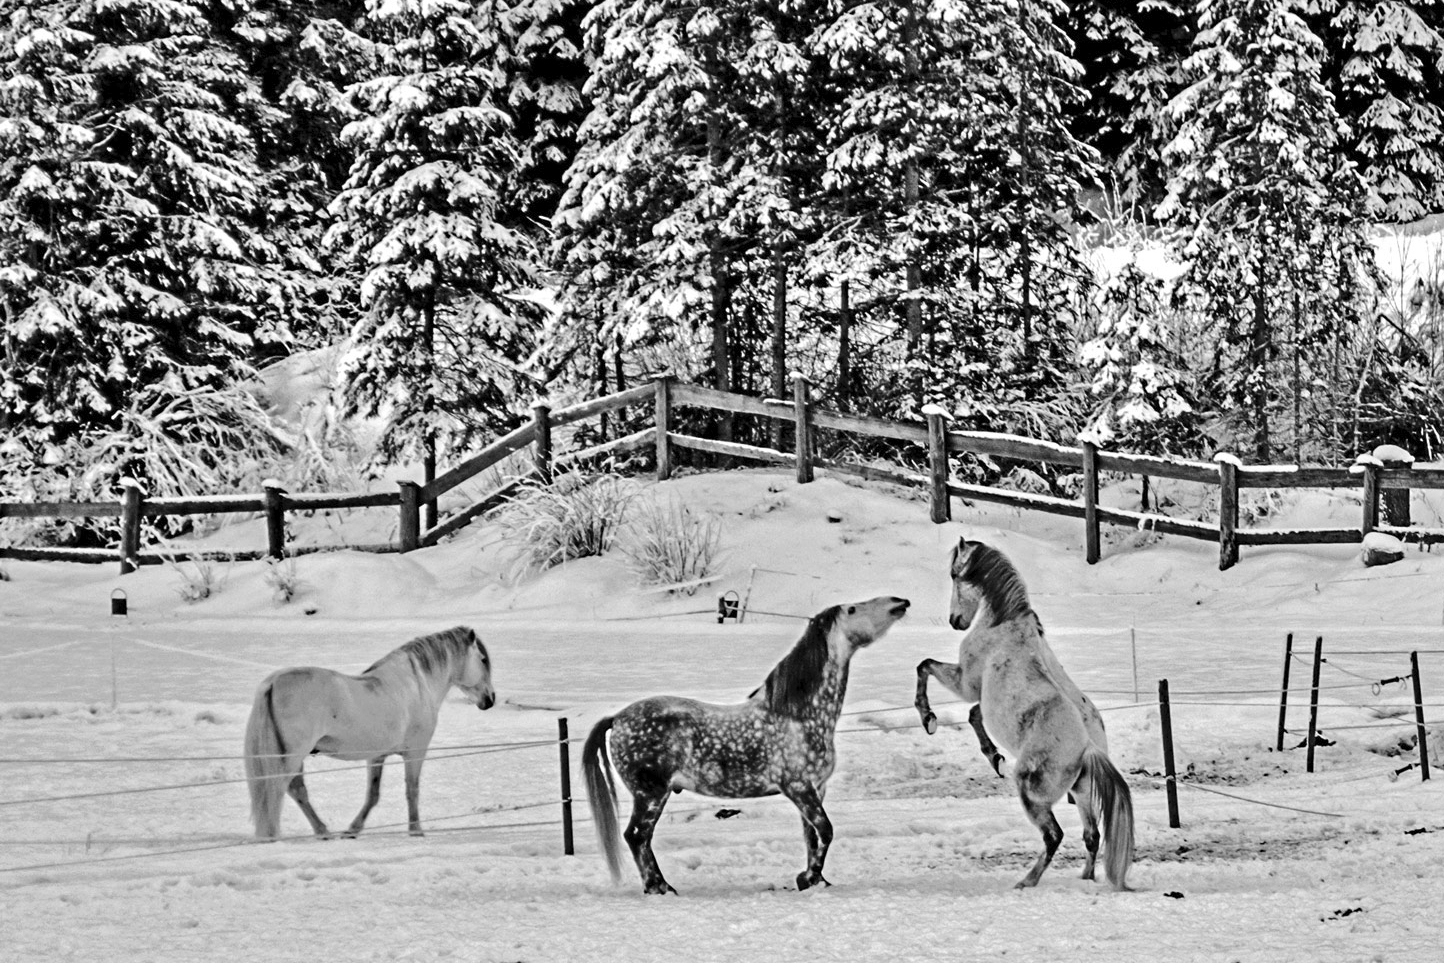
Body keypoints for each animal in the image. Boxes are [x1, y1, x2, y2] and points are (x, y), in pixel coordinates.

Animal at [242, 629, 496, 837]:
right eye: (483, 660)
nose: (490, 699)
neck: (417, 684)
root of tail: (273, 682)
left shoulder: (377, 756)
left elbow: (373, 795)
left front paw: (352, 831)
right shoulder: (415, 752)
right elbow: (412, 790)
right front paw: (416, 831)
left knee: (296, 790)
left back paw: (323, 832)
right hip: (292, 756)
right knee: (278, 790)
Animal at [580, 594, 906, 895]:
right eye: (852, 609)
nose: (899, 602)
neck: (799, 716)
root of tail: (618, 718)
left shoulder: (816, 789)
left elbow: (812, 837)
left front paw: (816, 882)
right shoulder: (799, 788)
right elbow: (826, 831)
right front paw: (808, 877)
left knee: (641, 838)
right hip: (650, 794)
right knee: (637, 836)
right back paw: (659, 888)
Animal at [912, 539, 1137, 895]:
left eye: (953, 575)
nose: (954, 620)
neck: (1003, 623)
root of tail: (1088, 748)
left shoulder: (966, 682)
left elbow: (925, 666)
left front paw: (928, 718)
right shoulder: (980, 697)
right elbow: (974, 715)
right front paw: (994, 757)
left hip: (1032, 793)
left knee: (1054, 835)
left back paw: (1026, 881)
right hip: (1082, 794)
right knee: (1092, 835)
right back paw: (1084, 878)